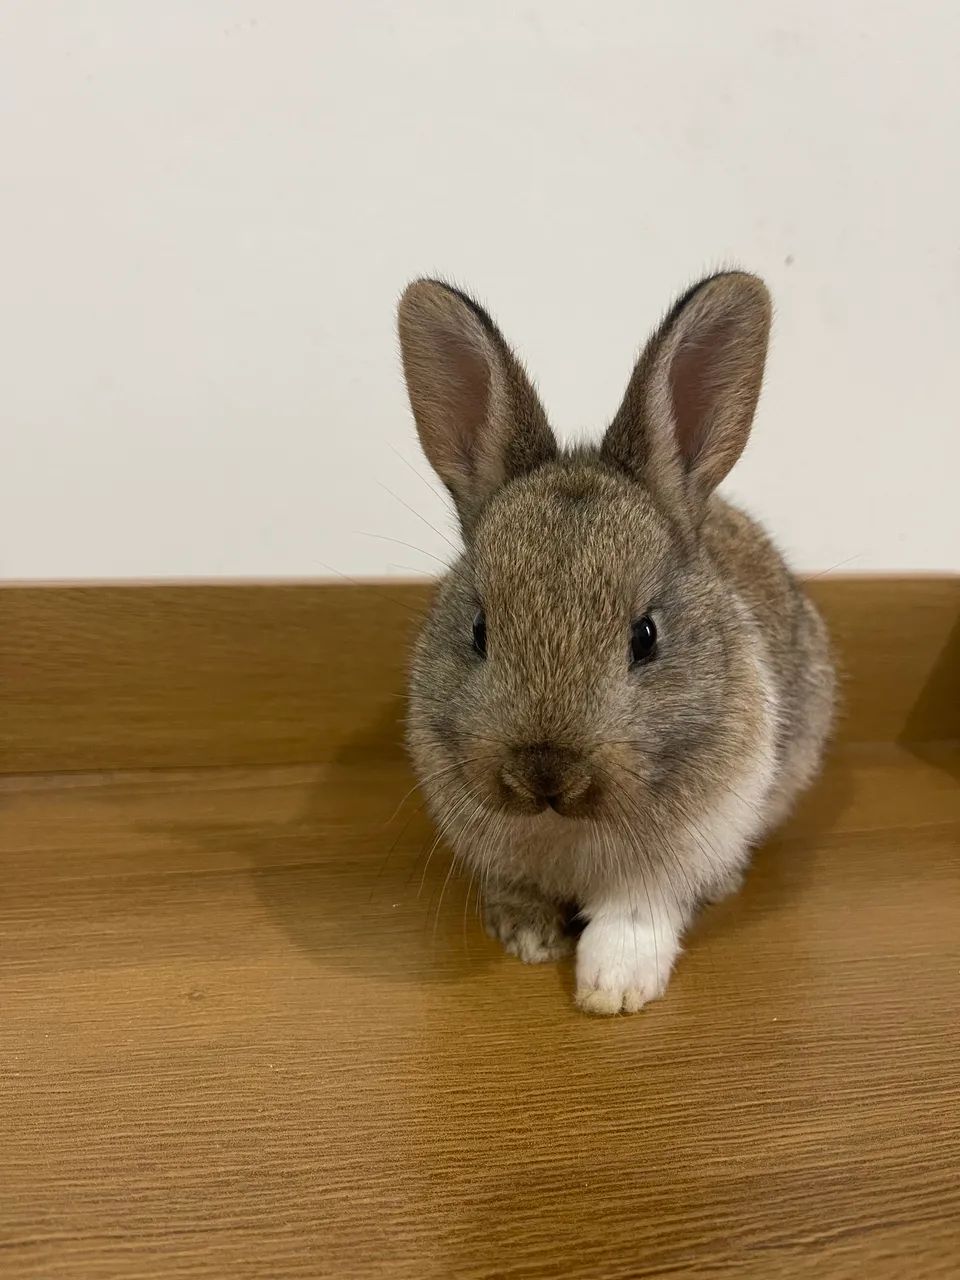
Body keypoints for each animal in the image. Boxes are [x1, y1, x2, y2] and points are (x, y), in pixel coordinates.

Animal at [397, 271, 835, 1015]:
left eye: (646, 636)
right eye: (480, 631)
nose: (544, 774)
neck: (565, 824)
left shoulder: (678, 853)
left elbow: (635, 915)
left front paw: (613, 990)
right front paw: (527, 939)